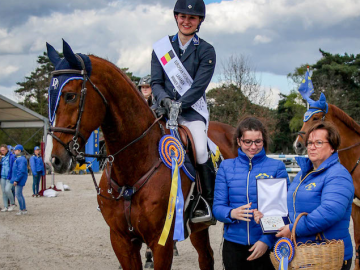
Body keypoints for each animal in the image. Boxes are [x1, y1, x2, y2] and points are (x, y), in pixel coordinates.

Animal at [45, 40, 236, 270]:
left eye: (70, 95)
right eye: (49, 95)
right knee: (206, 257)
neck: (135, 164)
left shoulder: (161, 242)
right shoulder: (121, 240)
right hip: (197, 229)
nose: (55, 160)